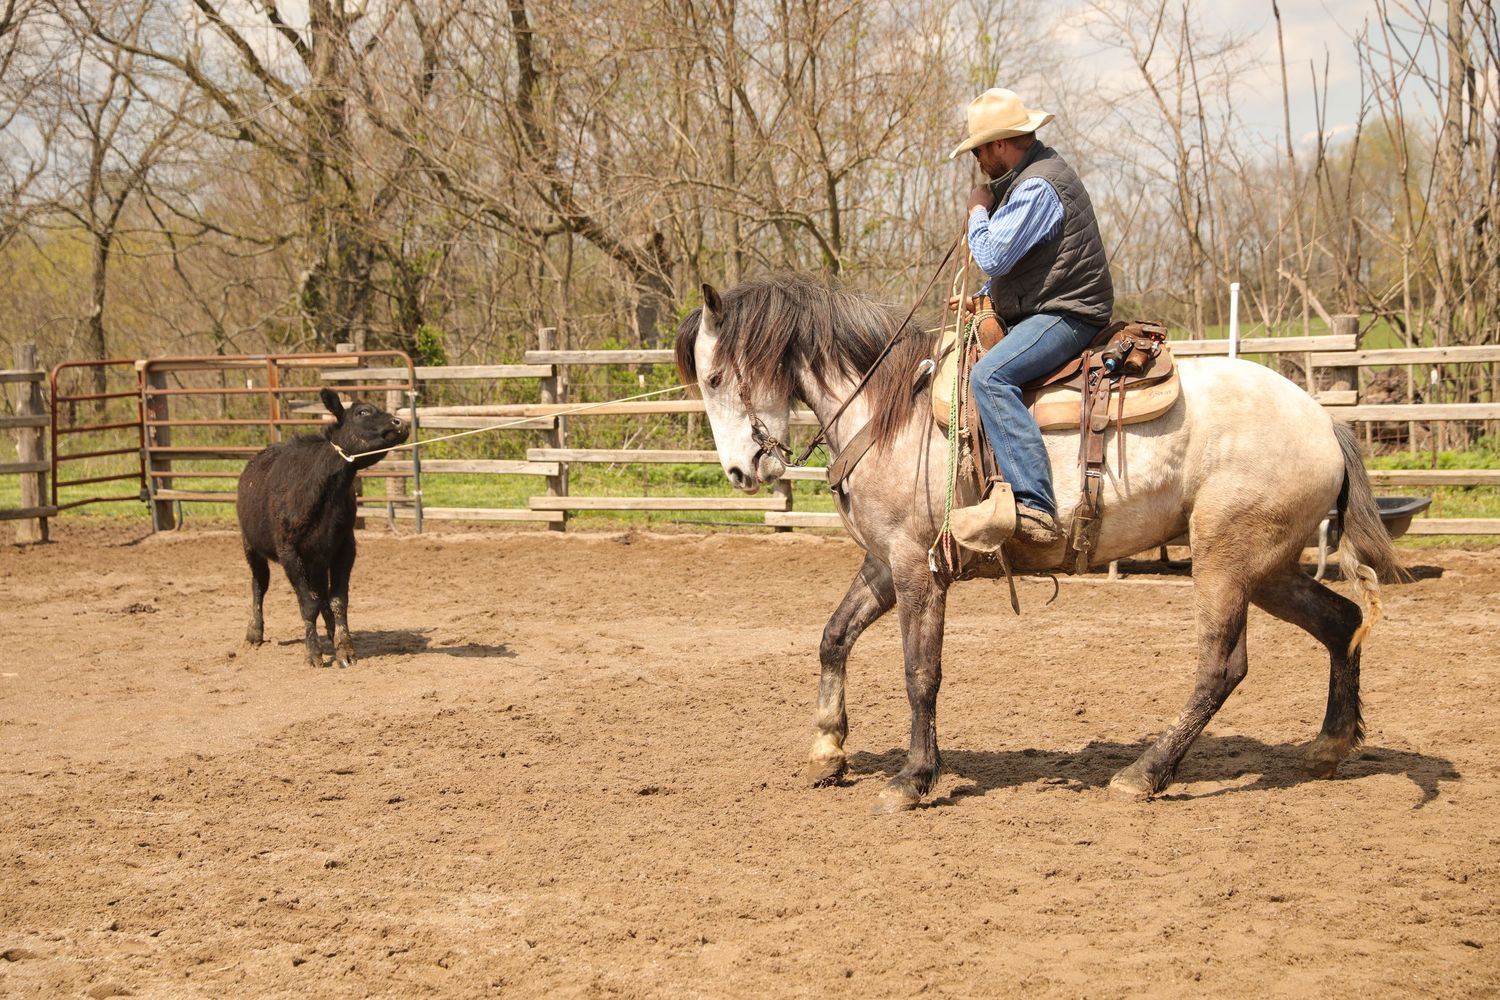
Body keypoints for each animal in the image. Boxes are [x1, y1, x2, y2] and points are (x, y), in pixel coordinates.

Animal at [674, 272, 1402, 814]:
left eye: (714, 378)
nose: (740, 472)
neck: (888, 414)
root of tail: (1324, 422)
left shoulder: (917, 569)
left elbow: (920, 673)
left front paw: (913, 778)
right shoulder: (884, 564)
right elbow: (833, 636)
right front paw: (827, 750)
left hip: (1227, 561)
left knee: (1222, 666)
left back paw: (1145, 773)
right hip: (1268, 567)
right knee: (1342, 622)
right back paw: (1329, 747)